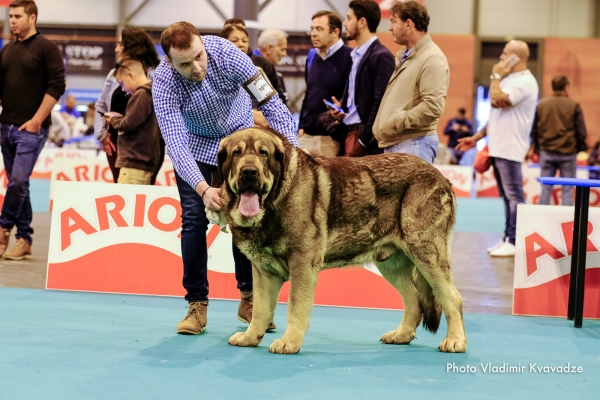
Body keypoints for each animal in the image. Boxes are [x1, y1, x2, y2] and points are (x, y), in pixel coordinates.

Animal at [217, 128, 468, 354]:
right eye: (236, 153)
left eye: (264, 153)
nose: (249, 172)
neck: (275, 199)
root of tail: (442, 177)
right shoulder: (263, 271)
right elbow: (260, 309)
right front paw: (250, 337)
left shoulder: (302, 264)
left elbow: (296, 307)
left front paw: (289, 342)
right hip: (392, 263)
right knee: (413, 300)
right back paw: (402, 335)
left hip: (426, 253)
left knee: (452, 298)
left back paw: (455, 340)